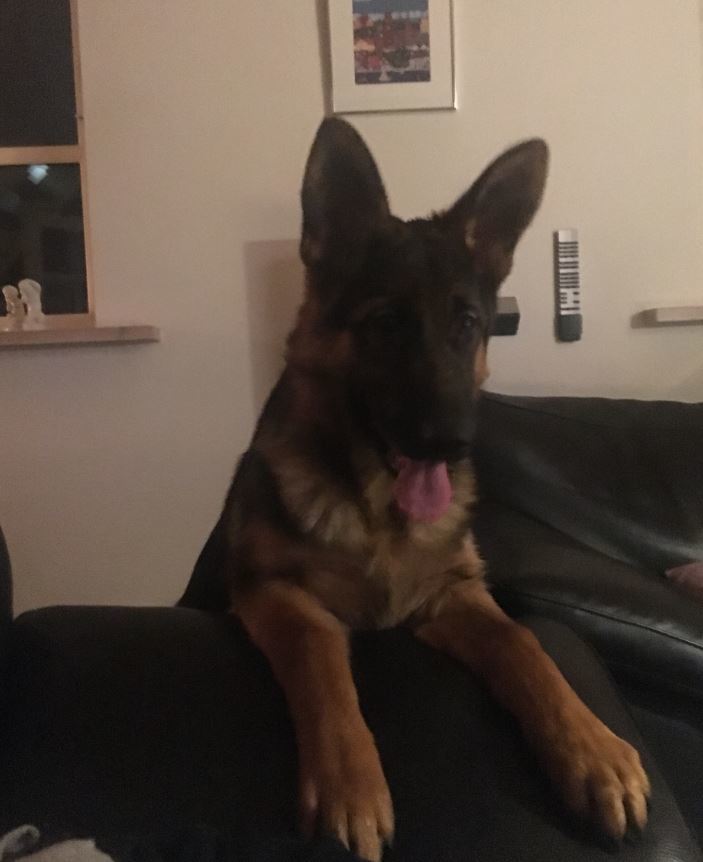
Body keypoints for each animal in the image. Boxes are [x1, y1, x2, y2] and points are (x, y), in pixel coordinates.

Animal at [180, 118, 650, 862]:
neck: (376, 513)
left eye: (468, 324)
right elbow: (319, 655)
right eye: (384, 324)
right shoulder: (272, 593)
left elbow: (525, 645)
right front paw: (349, 784)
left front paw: (592, 751)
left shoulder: (451, 597)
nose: (451, 442)